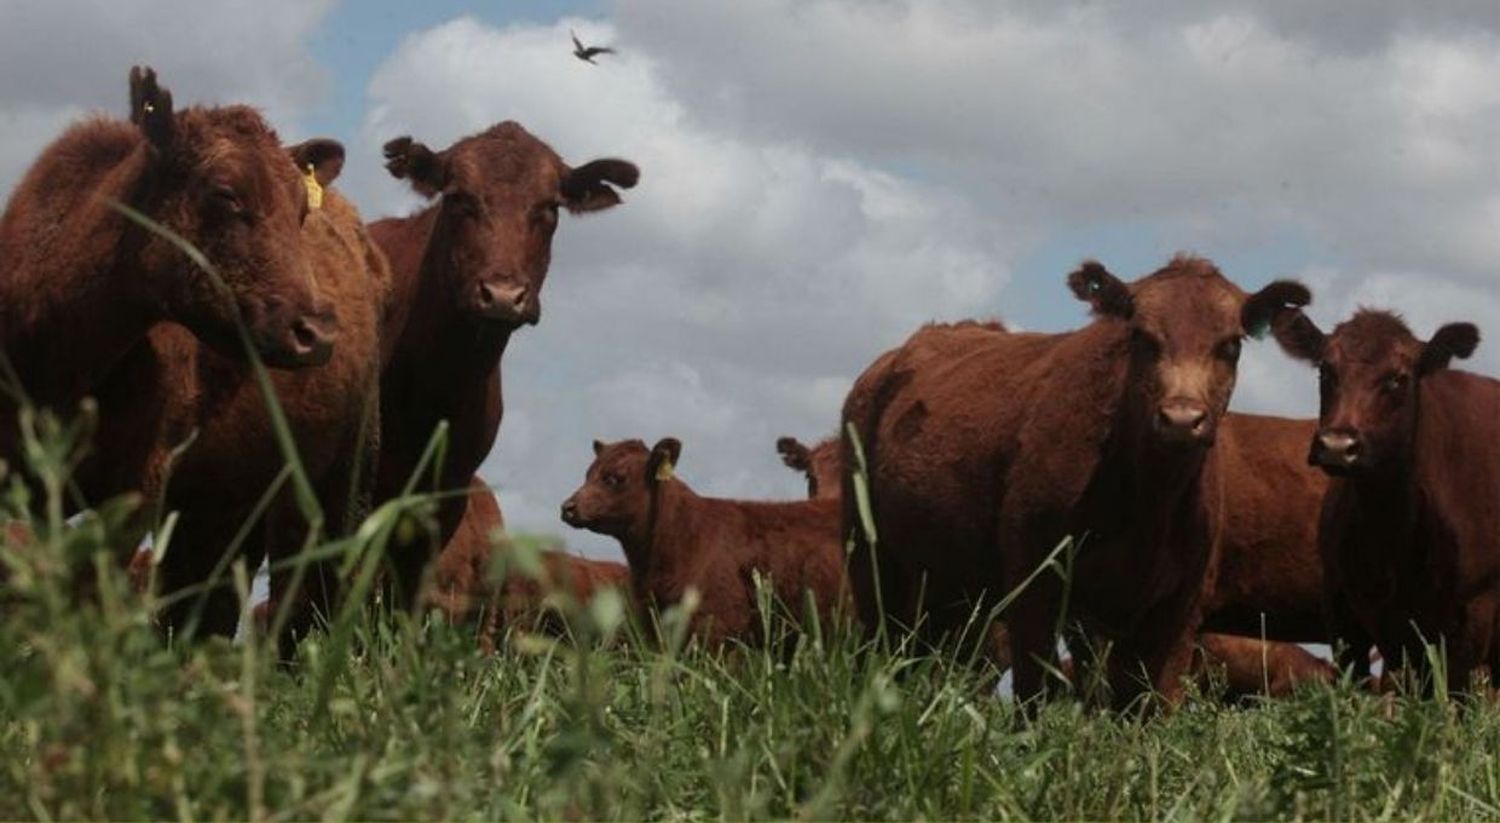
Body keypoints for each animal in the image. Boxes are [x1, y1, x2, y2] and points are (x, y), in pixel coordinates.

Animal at [846, 256, 1314, 704]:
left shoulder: (1176, 610)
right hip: (874, 566)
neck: (1147, 502)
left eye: (1230, 345)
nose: (1182, 420)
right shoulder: (1036, 587)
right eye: (1140, 336)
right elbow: (1037, 693)